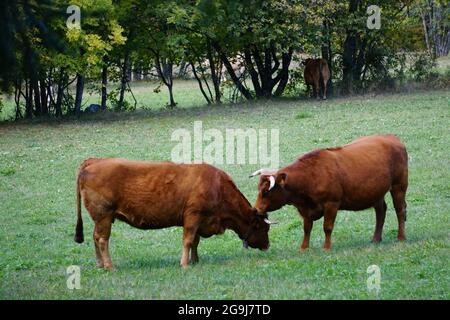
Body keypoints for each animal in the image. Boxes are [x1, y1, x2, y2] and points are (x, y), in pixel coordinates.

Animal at [74, 158, 272, 270]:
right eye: (264, 228)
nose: (267, 246)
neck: (217, 187)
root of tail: (94, 161)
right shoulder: (192, 216)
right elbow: (188, 241)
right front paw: (184, 264)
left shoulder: (199, 221)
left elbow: (195, 242)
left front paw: (195, 260)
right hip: (104, 216)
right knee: (102, 240)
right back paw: (110, 266)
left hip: (101, 219)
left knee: (95, 237)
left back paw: (100, 264)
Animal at [250, 134, 408, 250]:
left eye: (266, 192)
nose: (256, 209)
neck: (310, 176)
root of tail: (391, 138)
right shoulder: (305, 209)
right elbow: (307, 228)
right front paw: (304, 248)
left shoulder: (332, 203)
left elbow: (327, 227)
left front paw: (326, 247)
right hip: (376, 193)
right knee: (380, 212)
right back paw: (376, 239)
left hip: (399, 186)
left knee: (400, 210)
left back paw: (401, 237)